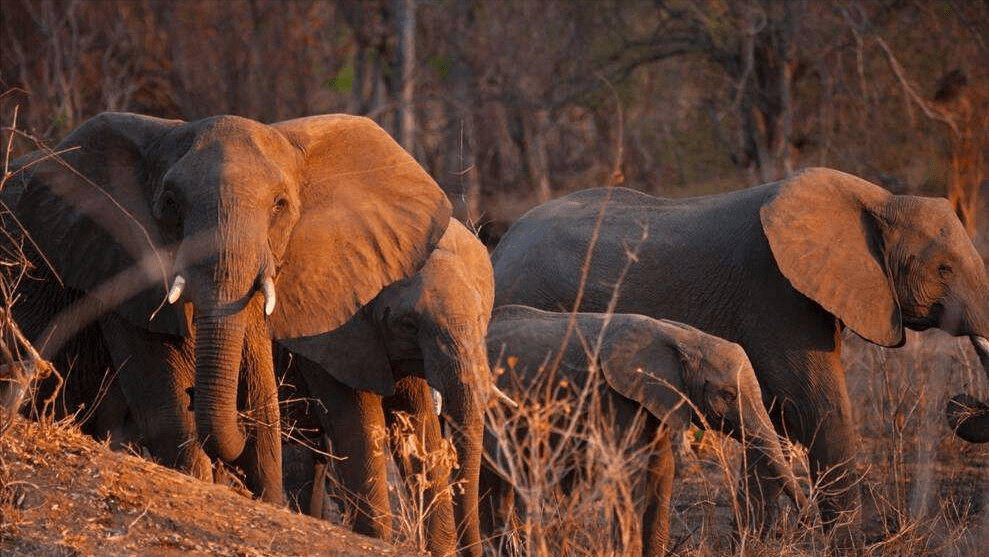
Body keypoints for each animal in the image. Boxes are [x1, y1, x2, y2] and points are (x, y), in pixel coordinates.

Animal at [2, 112, 452, 504]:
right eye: (170, 203)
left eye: (280, 205)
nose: (194, 392)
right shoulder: (112, 257)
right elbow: (164, 403)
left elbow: (262, 395)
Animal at [278, 217, 494, 556]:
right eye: (409, 325)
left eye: (481, 315)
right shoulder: (326, 334)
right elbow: (357, 425)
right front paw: (374, 540)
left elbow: (418, 426)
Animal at [492, 166, 988, 540]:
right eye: (944, 269)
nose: (962, 400)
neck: (877, 200)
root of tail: (499, 246)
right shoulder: (775, 293)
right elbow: (814, 407)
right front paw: (849, 546)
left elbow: (772, 414)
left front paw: (756, 543)